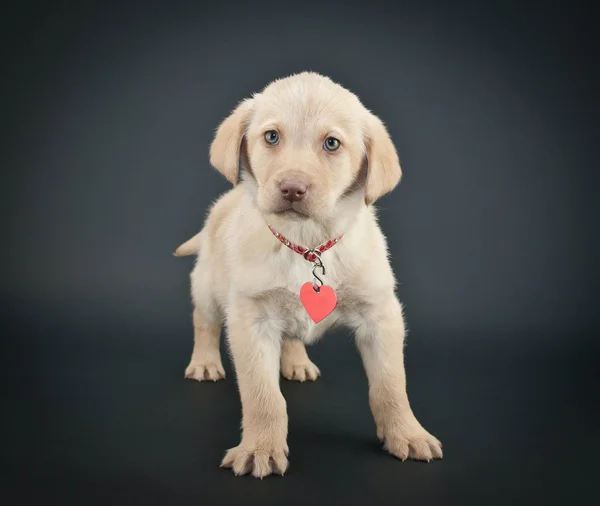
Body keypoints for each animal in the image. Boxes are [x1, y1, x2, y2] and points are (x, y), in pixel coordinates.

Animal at [173, 72, 440, 478]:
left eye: (332, 143)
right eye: (271, 137)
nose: (292, 188)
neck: (307, 245)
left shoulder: (381, 314)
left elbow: (391, 384)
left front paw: (407, 434)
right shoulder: (251, 318)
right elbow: (263, 395)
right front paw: (261, 448)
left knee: (292, 335)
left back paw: (297, 362)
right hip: (207, 284)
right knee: (203, 321)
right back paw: (204, 362)